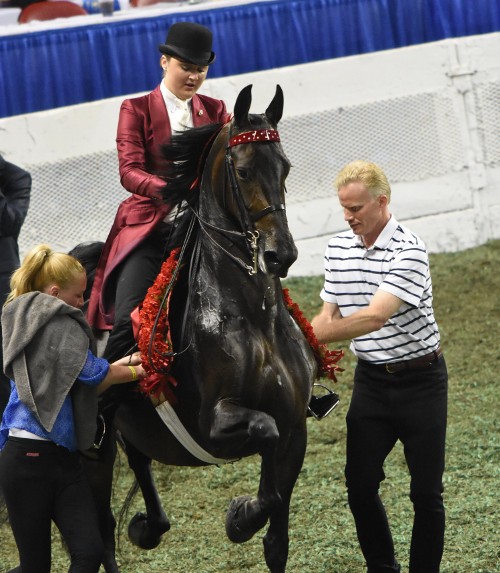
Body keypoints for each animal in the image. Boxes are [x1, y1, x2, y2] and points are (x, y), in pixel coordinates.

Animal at [79, 85, 320, 572]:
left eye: (285, 167)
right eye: (243, 171)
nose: (280, 255)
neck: (254, 319)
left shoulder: (295, 428)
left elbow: (277, 534)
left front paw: (249, 518)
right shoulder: (216, 422)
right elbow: (263, 434)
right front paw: (240, 517)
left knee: (139, 465)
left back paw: (148, 527)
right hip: (96, 448)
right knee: (102, 529)